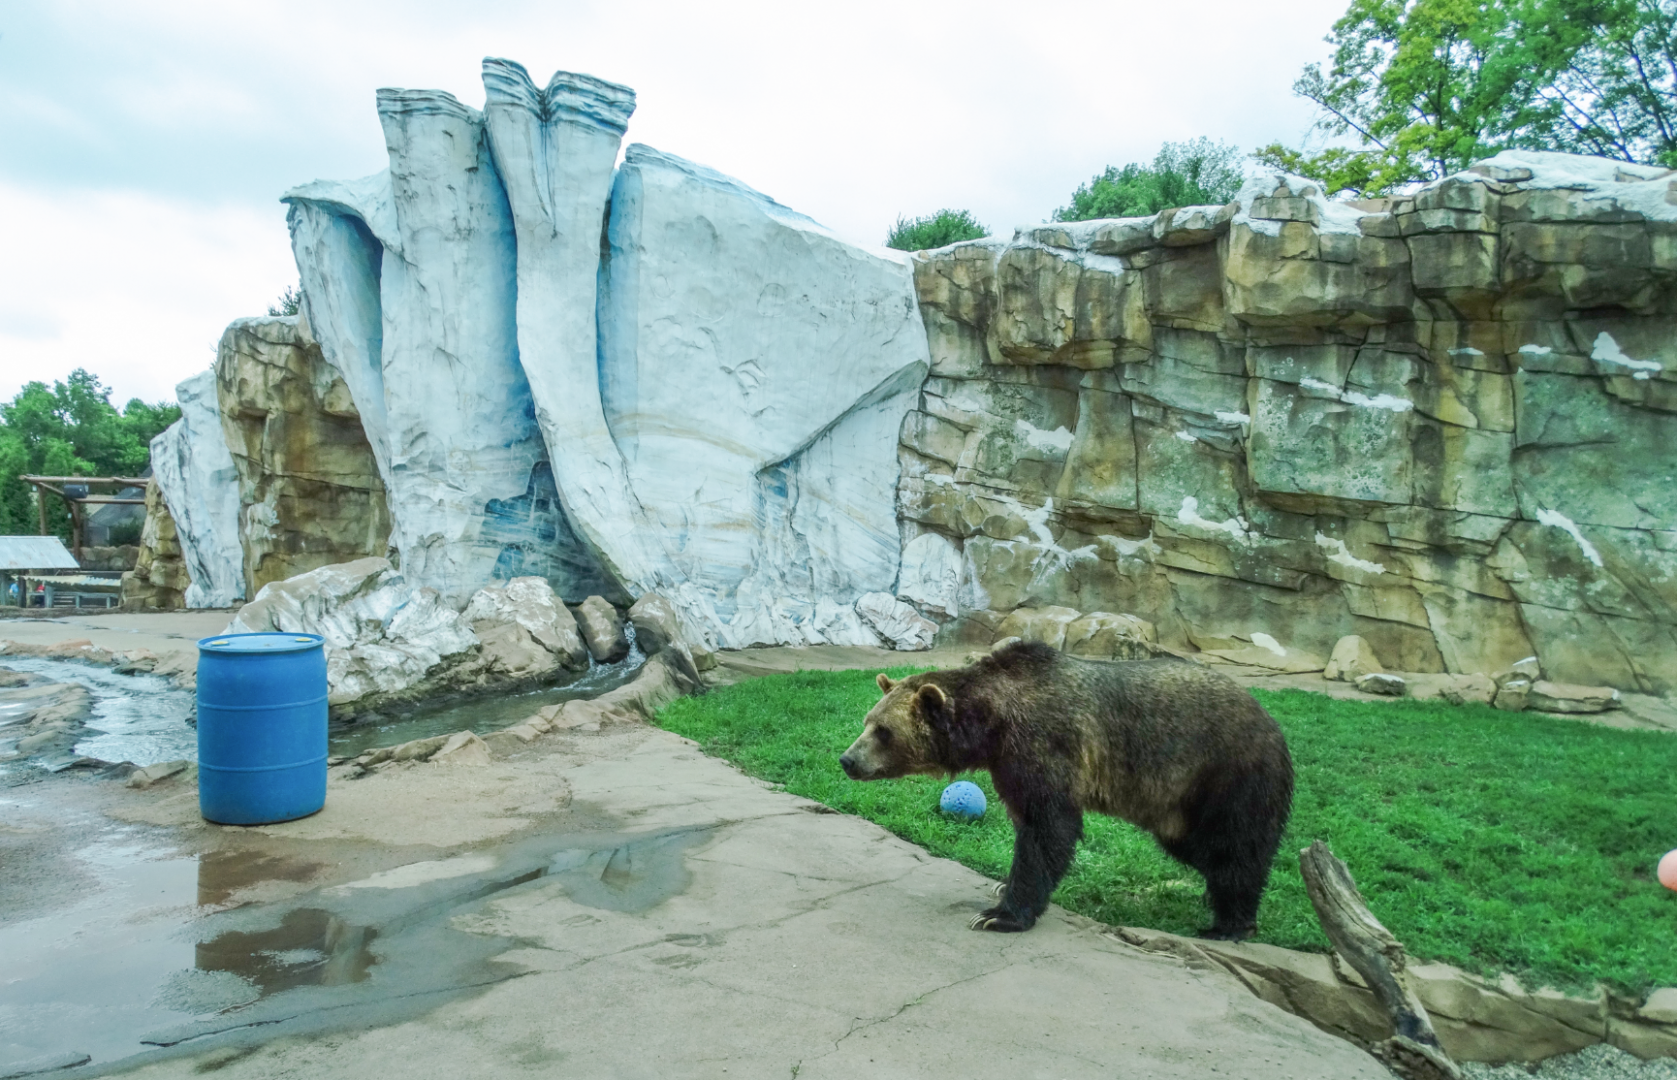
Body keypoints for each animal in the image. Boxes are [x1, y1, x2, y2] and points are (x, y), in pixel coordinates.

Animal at [838, 641, 1294, 940]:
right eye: (867, 721)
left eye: (883, 731)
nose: (847, 760)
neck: (992, 725)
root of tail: (1271, 721)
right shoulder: (1008, 764)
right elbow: (1028, 822)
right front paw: (1002, 887)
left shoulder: (1046, 743)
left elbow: (1048, 827)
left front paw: (999, 915)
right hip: (1178, 807)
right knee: (1198, 848)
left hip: (1225, 773)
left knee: (1234, 846)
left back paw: (1229, 924)